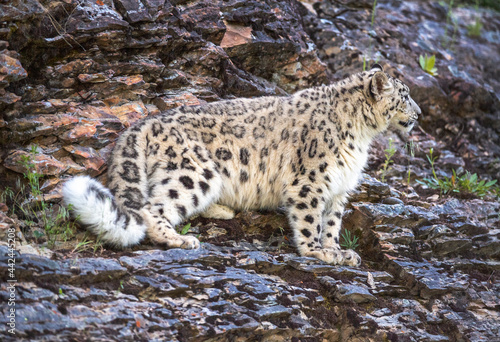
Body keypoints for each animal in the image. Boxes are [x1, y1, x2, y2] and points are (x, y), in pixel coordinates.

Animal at [63, 65, 422, 268]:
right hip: (194, 170)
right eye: (404, 96)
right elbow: (310, 219)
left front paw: (338, 251)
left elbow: (332, 222)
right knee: (154, 207)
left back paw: (221, 210)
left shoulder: (338, 187)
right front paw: (316, 252)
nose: (419, 114)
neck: (361, 137)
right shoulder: (310, 179)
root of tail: (142, 125)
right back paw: (179, 239)